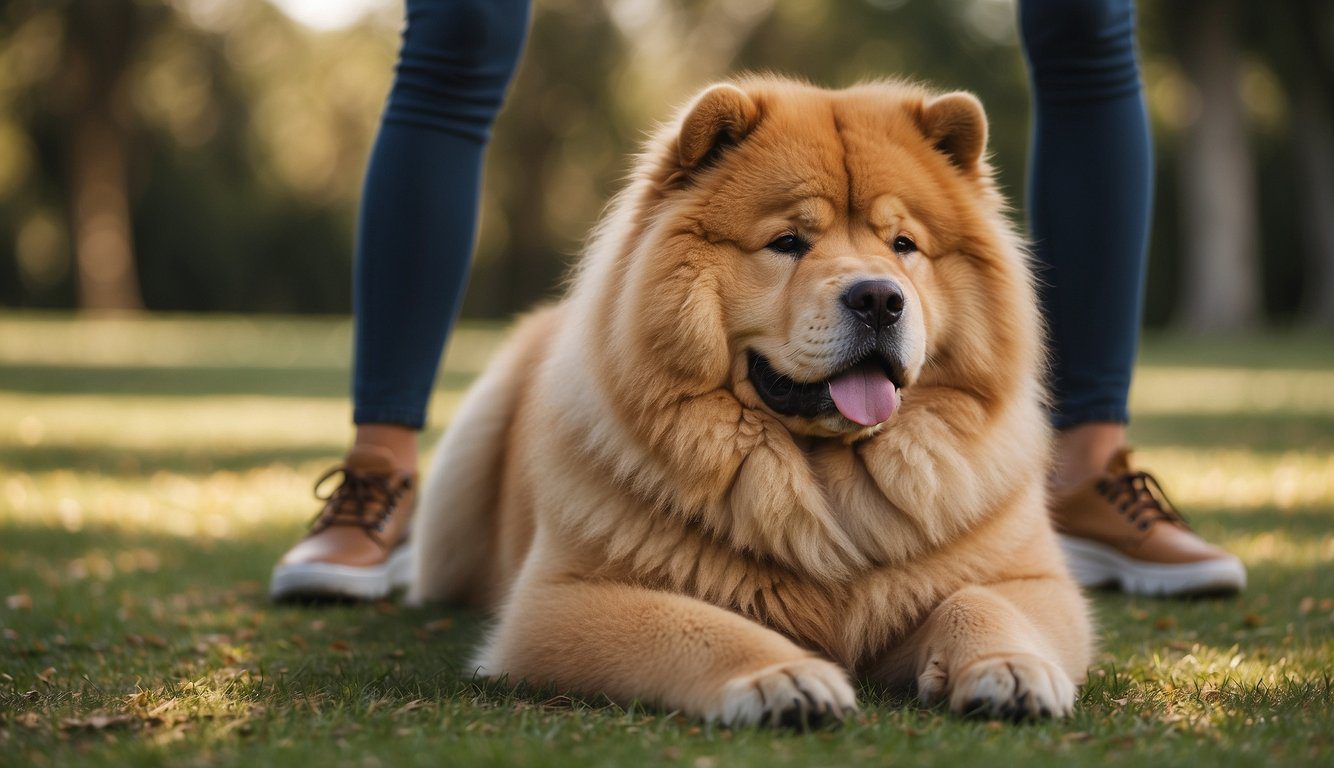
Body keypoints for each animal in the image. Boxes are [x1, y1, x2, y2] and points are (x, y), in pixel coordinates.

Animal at [410, 76, 1088, 725]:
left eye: (903, 244)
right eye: (787, 242)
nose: (879, 298)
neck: (823, 479)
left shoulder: (1032, 580)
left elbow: (981, 600)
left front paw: (1010, 668)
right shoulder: (558, 602)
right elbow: (695, 625)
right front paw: (780, 677)